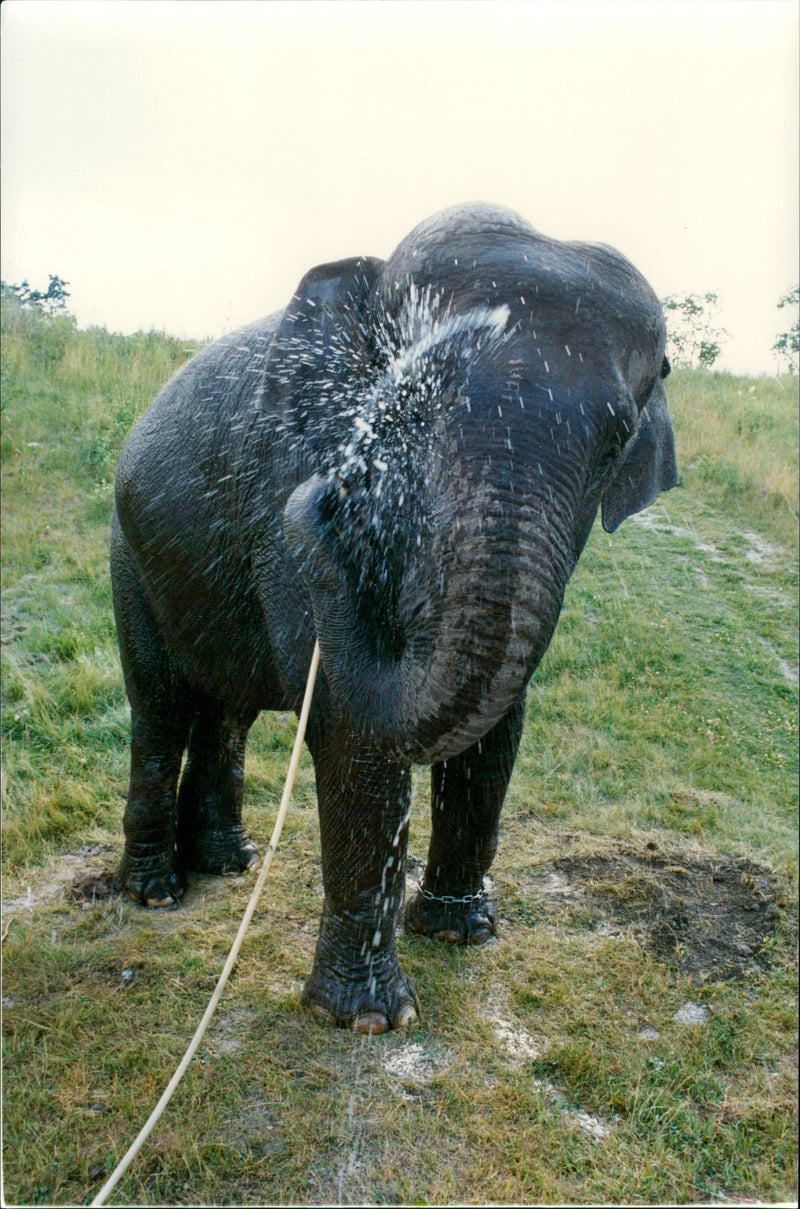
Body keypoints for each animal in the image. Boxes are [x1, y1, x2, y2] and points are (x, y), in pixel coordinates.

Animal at [111, 203, 676, 1034]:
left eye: (613, 443)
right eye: (415, 410)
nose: (323, 496)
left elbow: (497, 723)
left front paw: (460, 933)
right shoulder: (286, 462)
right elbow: (351, 725)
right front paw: (370, 1018)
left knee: (227, 710)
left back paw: (229, 863)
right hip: (128, 551)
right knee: (161, 705)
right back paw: (155, 891)